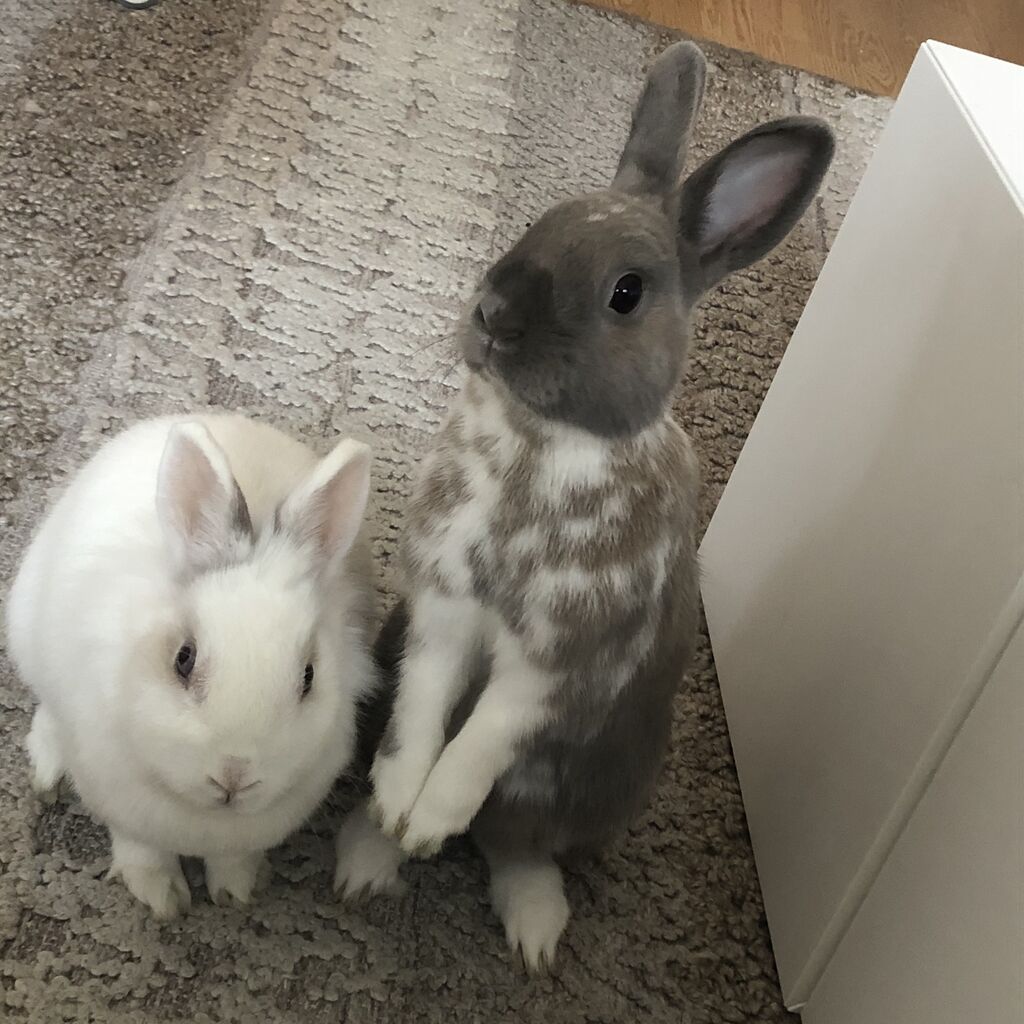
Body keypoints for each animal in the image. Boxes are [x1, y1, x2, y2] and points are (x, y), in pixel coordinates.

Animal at [5, 413, 376, 919]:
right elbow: (141, 849)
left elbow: (234, 858)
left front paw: (235, 892)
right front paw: (162, 898)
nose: (235, 776)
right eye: (184, 659)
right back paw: (47, 770)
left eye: (308, 677)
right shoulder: (119, 801)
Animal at [334, 40, 835, 970]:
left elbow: (483, 738)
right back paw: (368, 857)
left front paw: (430, 819)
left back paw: (533, 934)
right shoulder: (440, 617)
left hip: (595, 793)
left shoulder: (561, 661)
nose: (493, 313)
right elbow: (422, 715)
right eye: (542, 220)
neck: (542, 441)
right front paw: (398, 809)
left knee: (516, 845)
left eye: (626, 293)